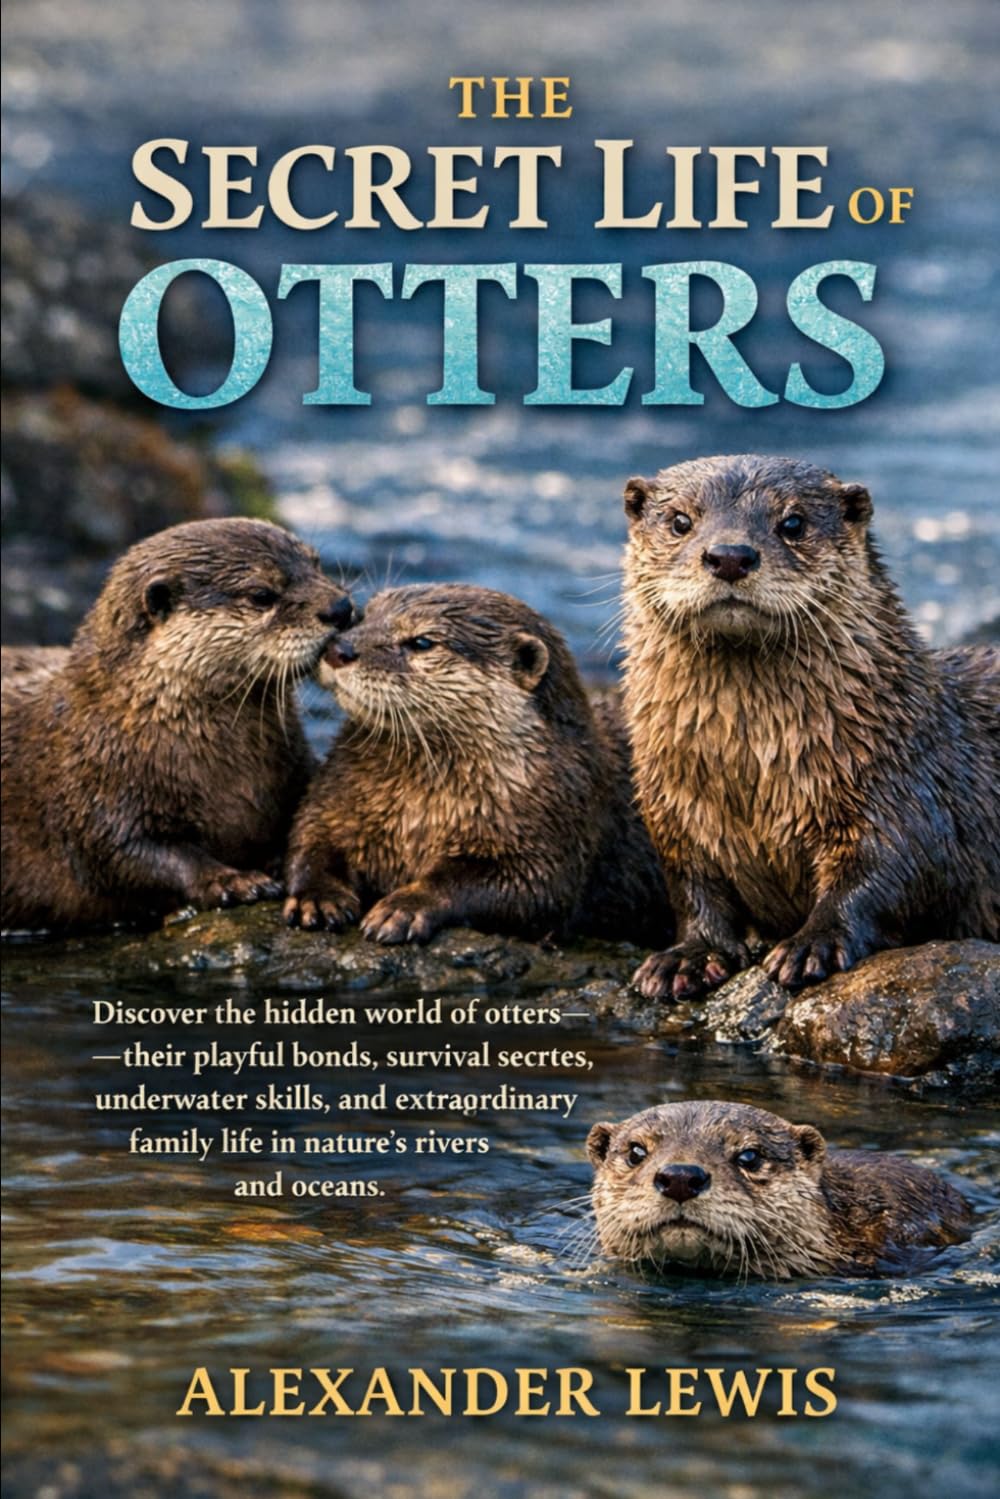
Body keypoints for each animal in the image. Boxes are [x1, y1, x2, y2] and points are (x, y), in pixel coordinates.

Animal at [1, 518, 353, 931]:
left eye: (316, 564)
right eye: (261, 595)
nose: (341, 607)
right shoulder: (92, 793)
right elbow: (129, 854)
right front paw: (232, 881)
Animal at [283, 583, 669, 944]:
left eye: (422, 642)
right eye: (363, 616)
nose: (339, 649)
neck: (419, 813)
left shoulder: (555, 831)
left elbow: (524, 889)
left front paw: (404, 908)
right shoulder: (336, 798)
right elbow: (312, 838)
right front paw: (315, 897)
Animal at [621, 454, 1000, 999]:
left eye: (793, 523)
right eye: (680, 521)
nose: (730, 555)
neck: (751, 775)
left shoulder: (900, 790)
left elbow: (886, 872)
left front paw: (810, 944)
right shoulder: (676, 814)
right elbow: (694, 888)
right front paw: (688, 956)